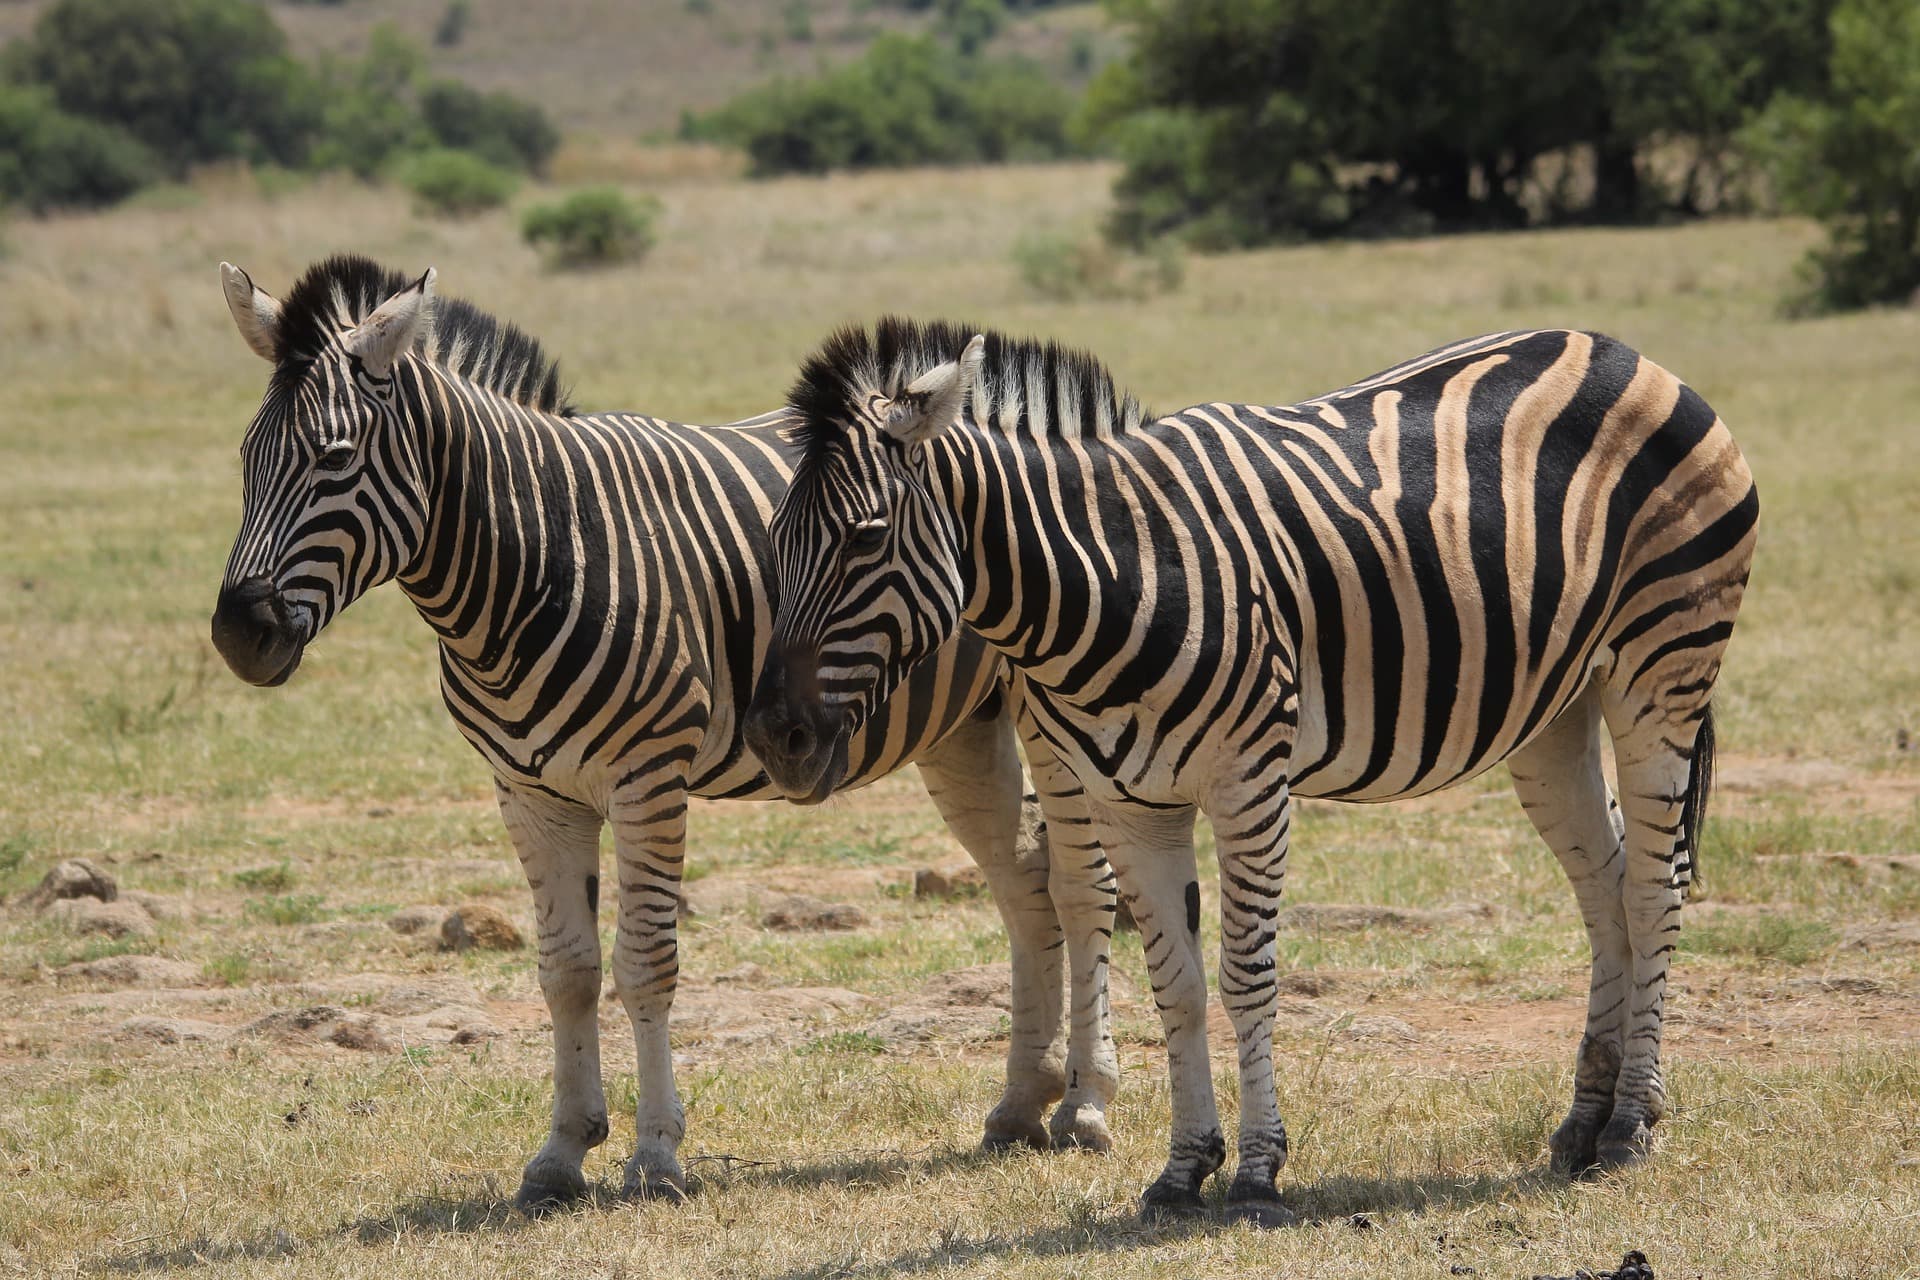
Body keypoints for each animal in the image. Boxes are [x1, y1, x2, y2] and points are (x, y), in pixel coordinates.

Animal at [207, 258, 1120, 1210]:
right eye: (246, 458)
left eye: (335, 459)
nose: (239, 634)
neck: (535, 561)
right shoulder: (528, 789)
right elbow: (566, 969)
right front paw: (562, 1151)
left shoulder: (647, 777)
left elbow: (643, 961)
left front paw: (655, 1155)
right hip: (960, 728)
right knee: (1024, 885)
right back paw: (1021, 1103)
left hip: (1055, 708)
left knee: (1081, 886)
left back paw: (1085, 1106)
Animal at [744, 319, 1758, 1225]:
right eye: (777, 538)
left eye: (866, 536)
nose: (773, 736)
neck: (1114, 576)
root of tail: (1620, 349)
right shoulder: (1128, 803)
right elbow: (1180, 986)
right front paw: (1182, 1169)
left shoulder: (1249, 786)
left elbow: (1247, 975)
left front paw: (1261, 1174)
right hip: (1554, 709)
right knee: (1606, 888)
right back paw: (1586, 1120)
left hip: (1662, 666)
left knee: (1654, 891)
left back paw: (1630, 1126)